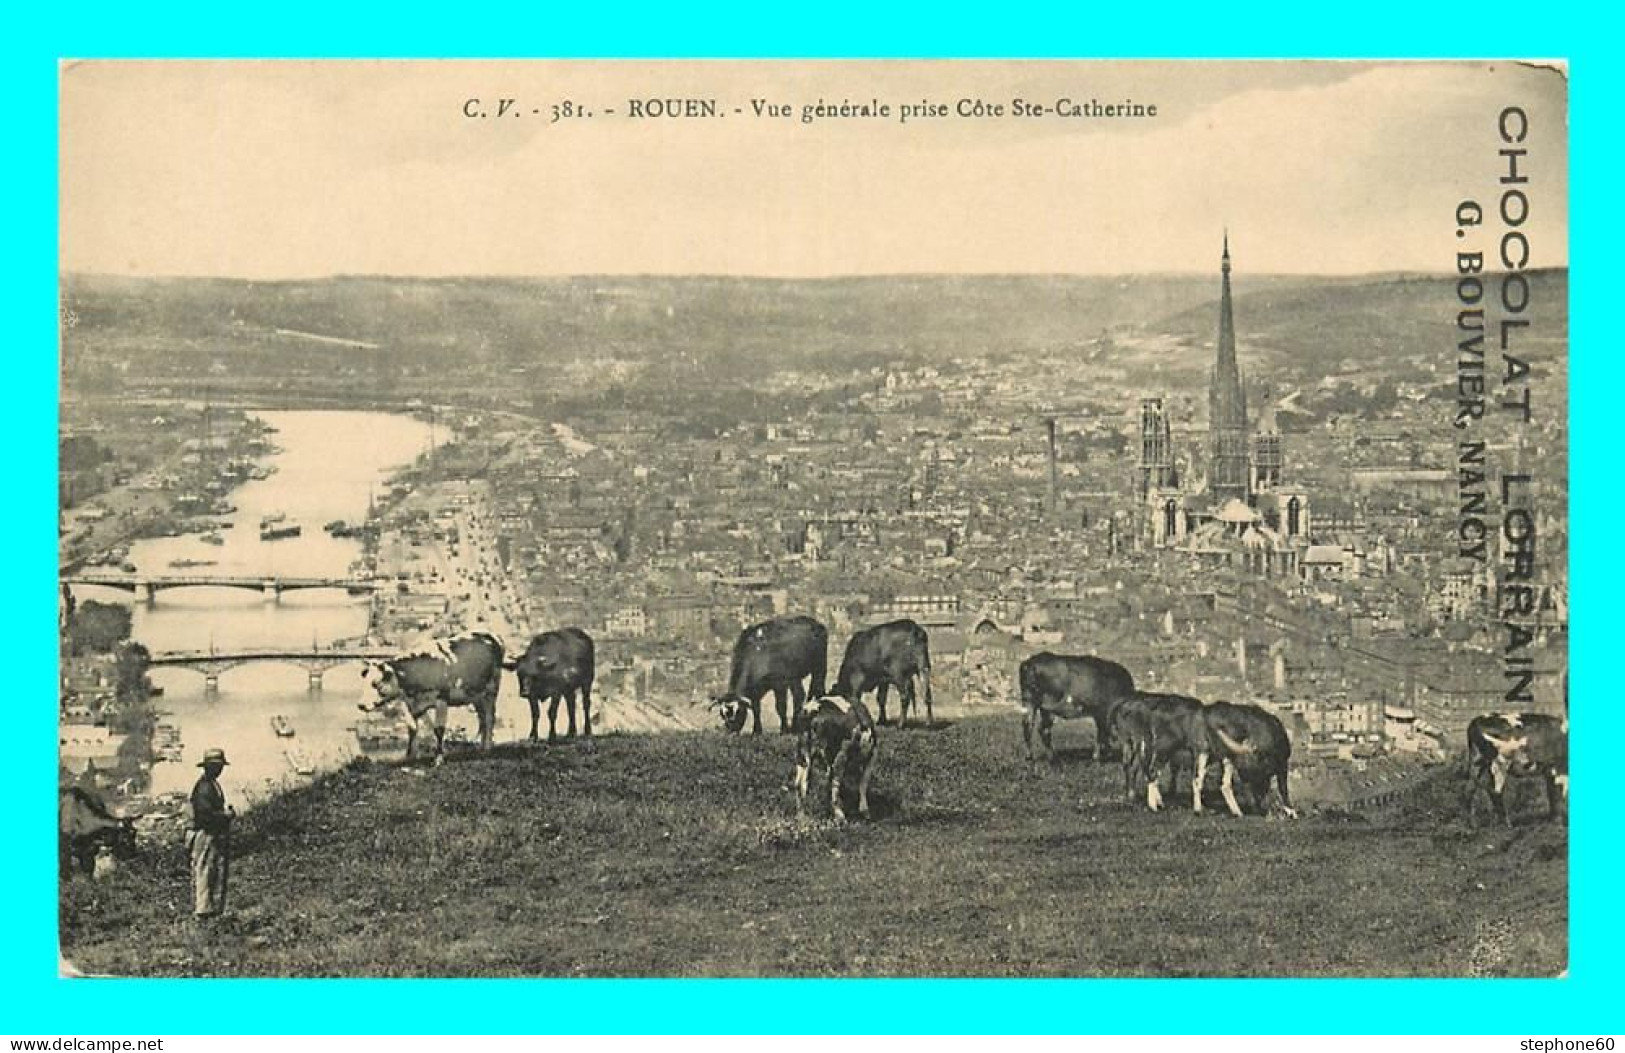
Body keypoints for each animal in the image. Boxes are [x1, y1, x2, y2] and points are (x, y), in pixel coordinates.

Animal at [359, 630, 503, 760]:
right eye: (363, 683)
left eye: (375, 684)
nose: (360, 705)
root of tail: (489, 634)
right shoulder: (413, 704)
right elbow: (412, 728)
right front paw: (410, 756)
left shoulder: (441, 700)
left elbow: (439, 730)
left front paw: (438, 758)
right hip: (476, 695)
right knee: (482, 719)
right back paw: (481, 748)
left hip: (491, 690)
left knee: (489, 718)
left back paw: (487, 749)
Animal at [786, 695, 877, 825]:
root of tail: (811, 711)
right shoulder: (871, 756)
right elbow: (863, 784)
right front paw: (865, 812)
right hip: (839, 757)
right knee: (833, 783)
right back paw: (840, 816)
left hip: (802, 754)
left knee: (800, 784)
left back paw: (801, 816)